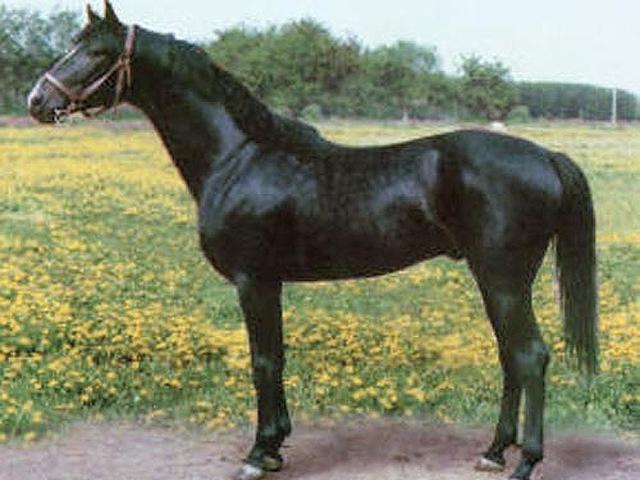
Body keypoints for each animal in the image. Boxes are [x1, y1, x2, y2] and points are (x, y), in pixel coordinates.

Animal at [27, 3, 598, 480]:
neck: (239, 157)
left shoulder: (253, 280)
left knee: (529, 356)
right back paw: (492, 452)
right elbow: (275, 358)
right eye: (73, 43)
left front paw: (259, 454)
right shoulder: (270, 282)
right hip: (497, 282)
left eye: (97, 52)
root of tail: (546, 156)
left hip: (503, 280)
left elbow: (263, 361)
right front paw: (276, 447)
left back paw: (524, 462)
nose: (37, 100)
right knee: (510, 357)